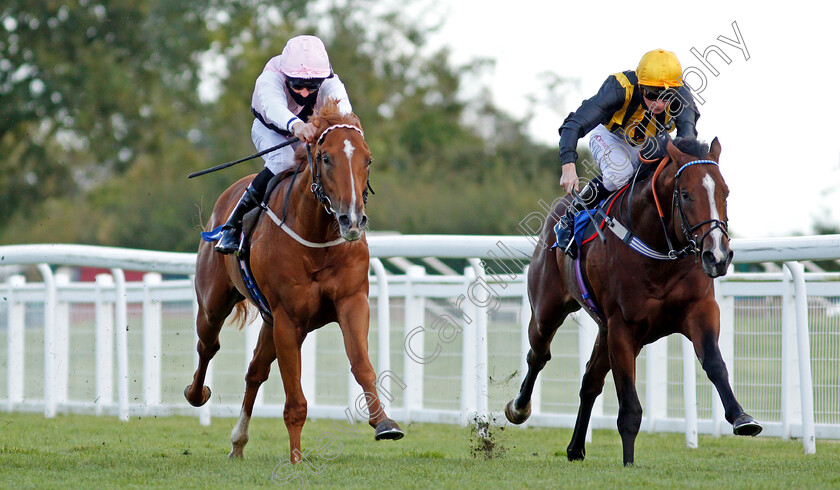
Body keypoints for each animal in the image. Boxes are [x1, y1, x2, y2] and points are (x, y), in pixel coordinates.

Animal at [185, 97, 402, 462]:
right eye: (326, 158)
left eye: (368, 159)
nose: (352, 220)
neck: (317, 237)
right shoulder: (288, 318)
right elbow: (295, 401)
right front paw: (296, 459)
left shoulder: (351, 302)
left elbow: (361, 365)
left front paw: (384, 423)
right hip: (214, 303)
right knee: (208, 345)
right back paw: (195, 394)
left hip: (269, 321)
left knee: (255, 371)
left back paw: (238, 442)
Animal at [506, 136, 760, 466]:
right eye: (686, 194)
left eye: (725, 192)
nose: (717, 255)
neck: (660, 250)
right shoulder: (623, 328)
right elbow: (629, 406)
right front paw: (629, 463)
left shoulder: (700, 310)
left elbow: (715, 364)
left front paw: (742, 418)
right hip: (547, 311)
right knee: (538, 355)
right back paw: (519, 408)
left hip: (603, 329)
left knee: (590, 381)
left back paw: (576, 448)